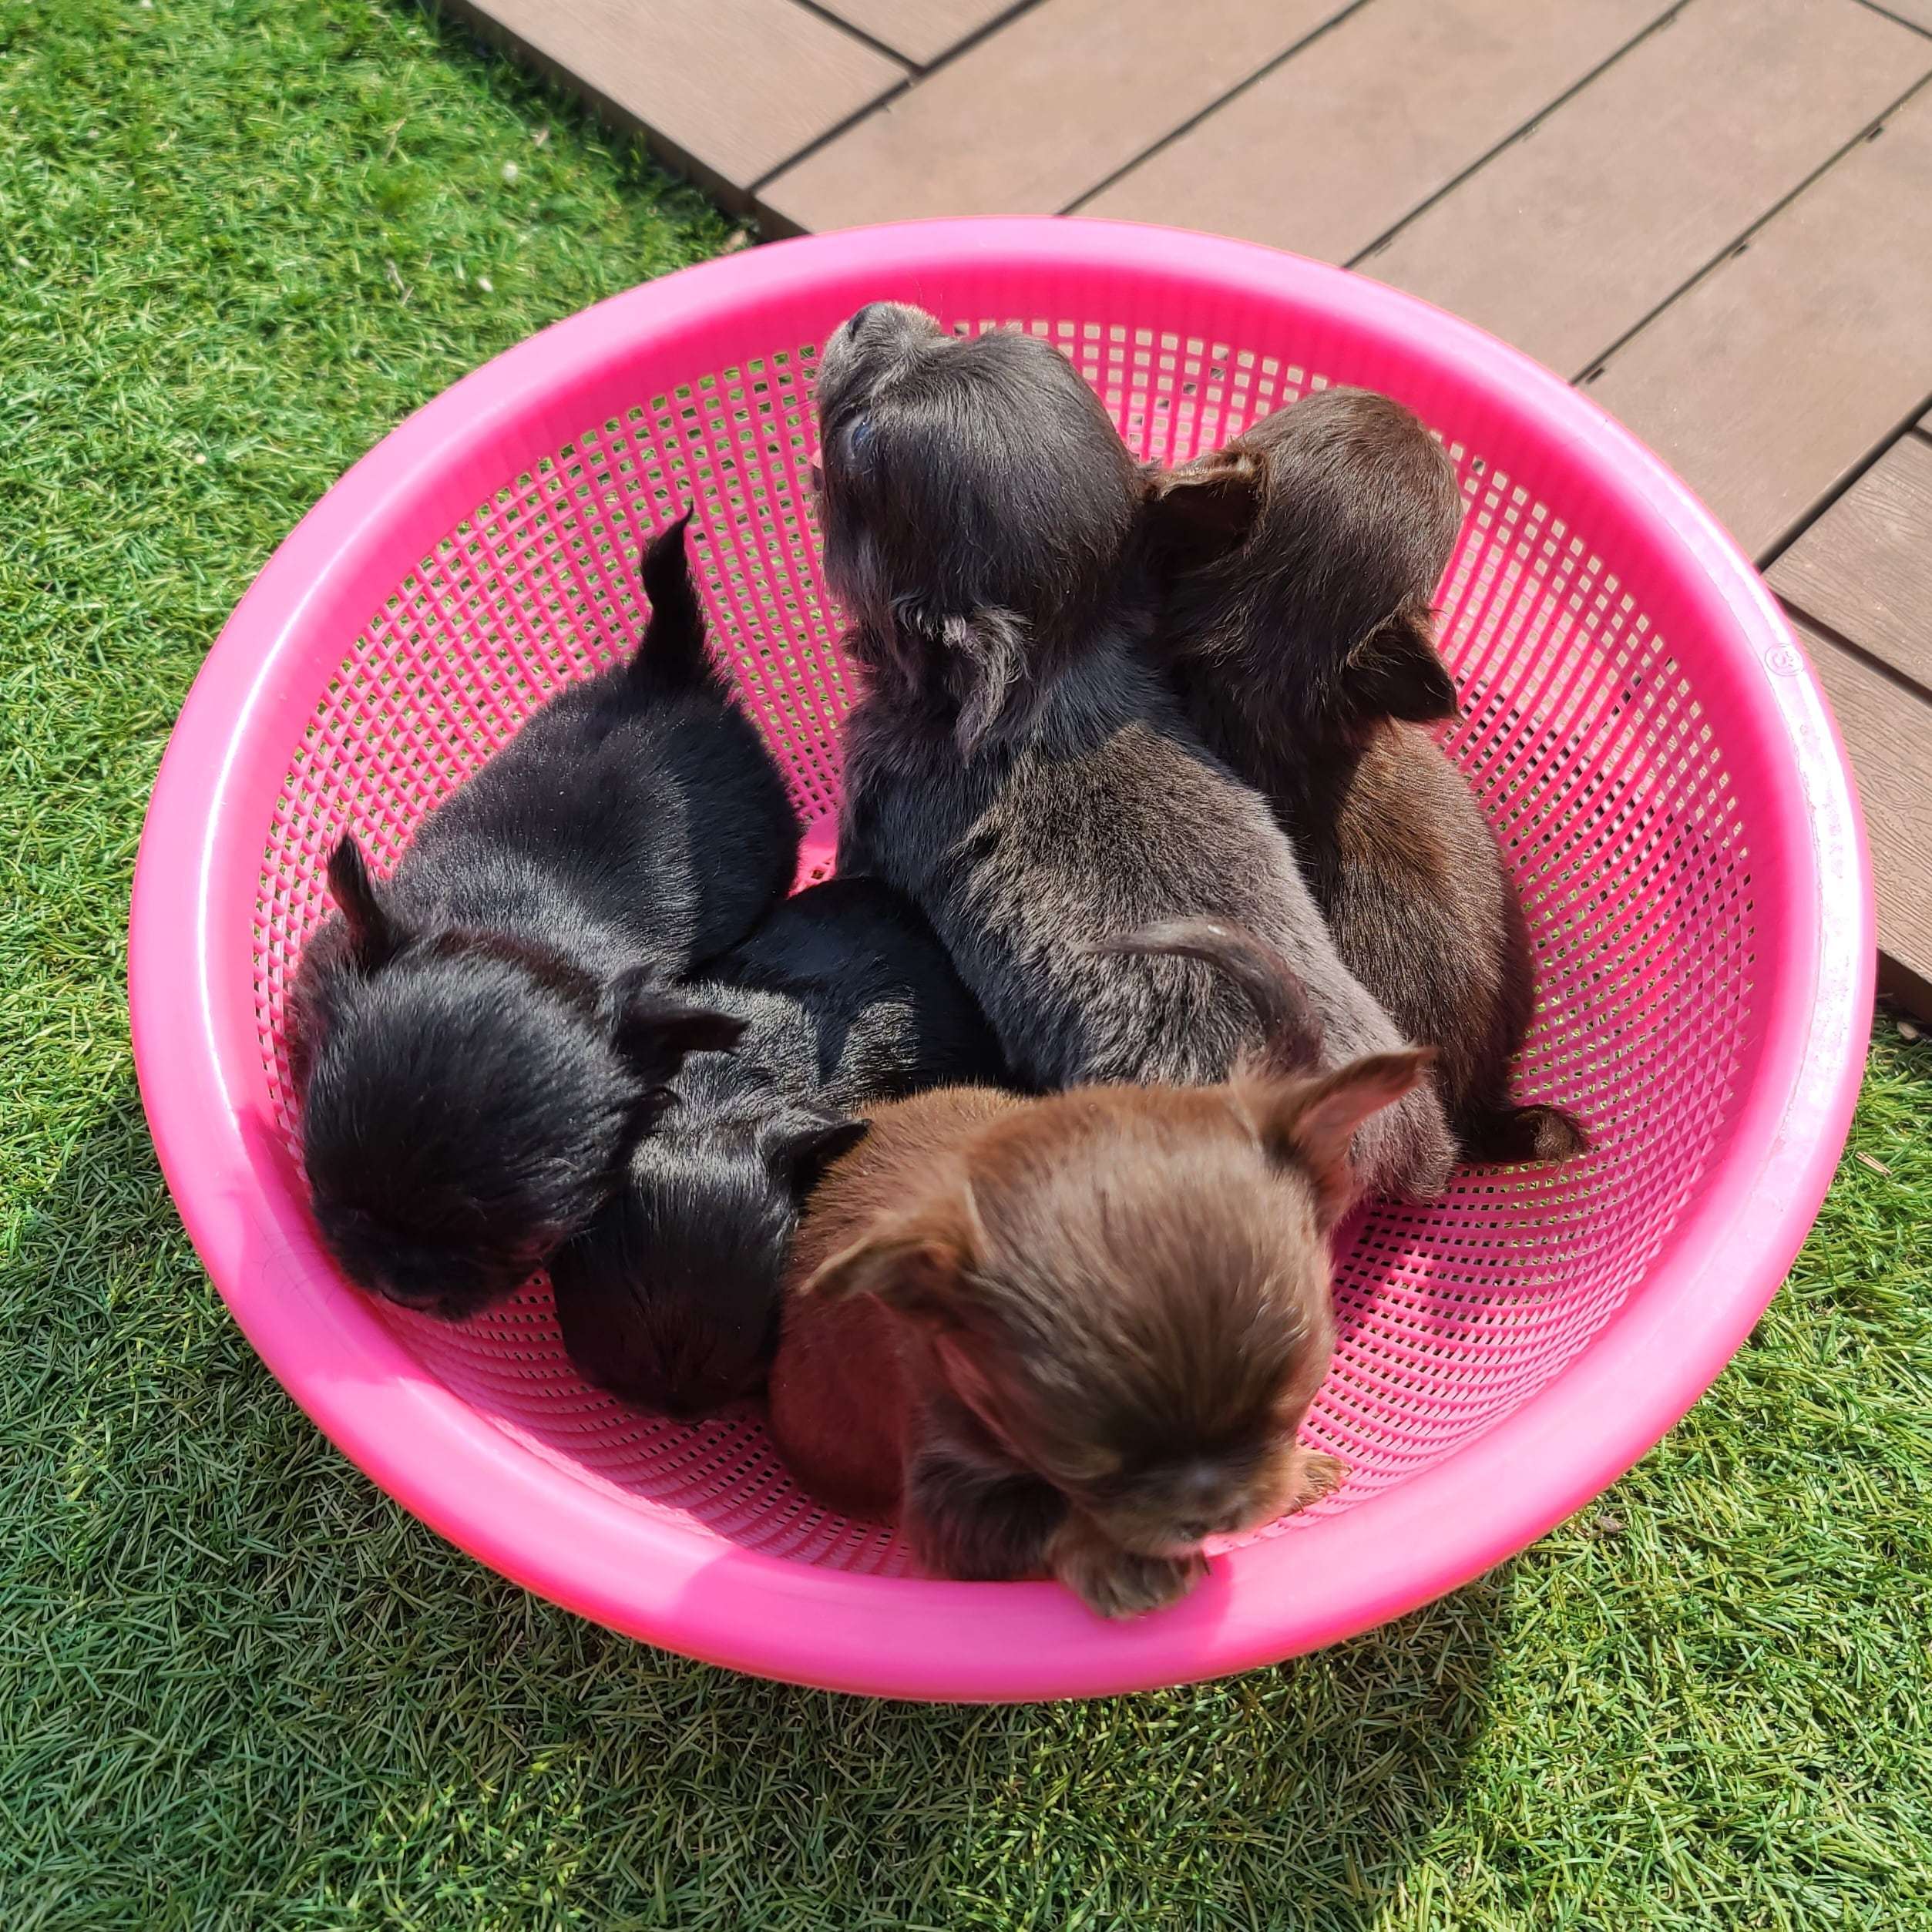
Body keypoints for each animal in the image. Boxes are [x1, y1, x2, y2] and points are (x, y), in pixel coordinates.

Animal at [768, 920, 1428, 1618]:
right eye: (1081, 1464)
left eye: (1290, 1404)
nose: (1209, 1508)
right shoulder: (946, 1498)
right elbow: (1051, 1510)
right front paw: (1122, 1560)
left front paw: (1300, 1471)